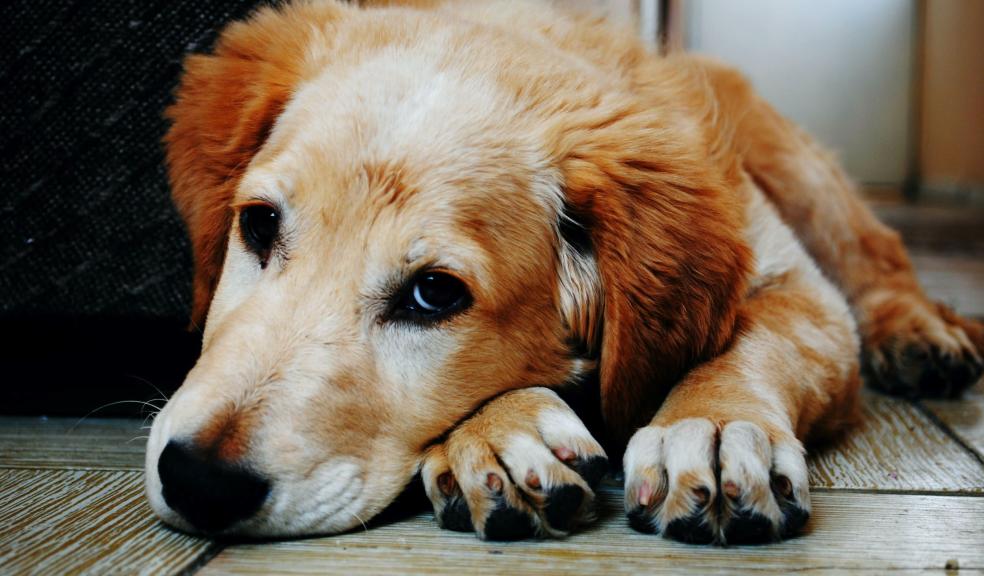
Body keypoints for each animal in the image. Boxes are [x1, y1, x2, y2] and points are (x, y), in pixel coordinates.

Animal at [146, 0, 984, 544]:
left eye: (434, 293)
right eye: (258, 224)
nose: (197, 480)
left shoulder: (799, 291)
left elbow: (754, 344)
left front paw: (711, 425)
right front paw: (500, 435)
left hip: (799, 170)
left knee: (878, 259)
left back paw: (921, 335)